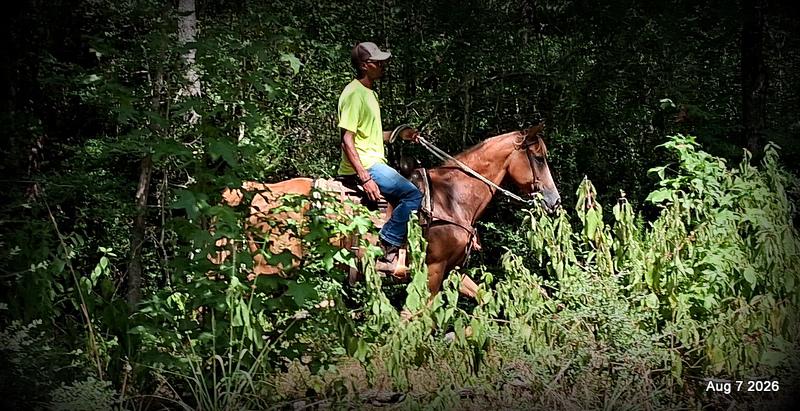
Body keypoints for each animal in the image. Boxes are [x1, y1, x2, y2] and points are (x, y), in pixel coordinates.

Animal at [212, 122, 560, 298]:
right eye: (539, 158)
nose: (555, 201)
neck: (453, 198)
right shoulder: (432, 270)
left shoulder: (453, 270)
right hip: (268, 267)